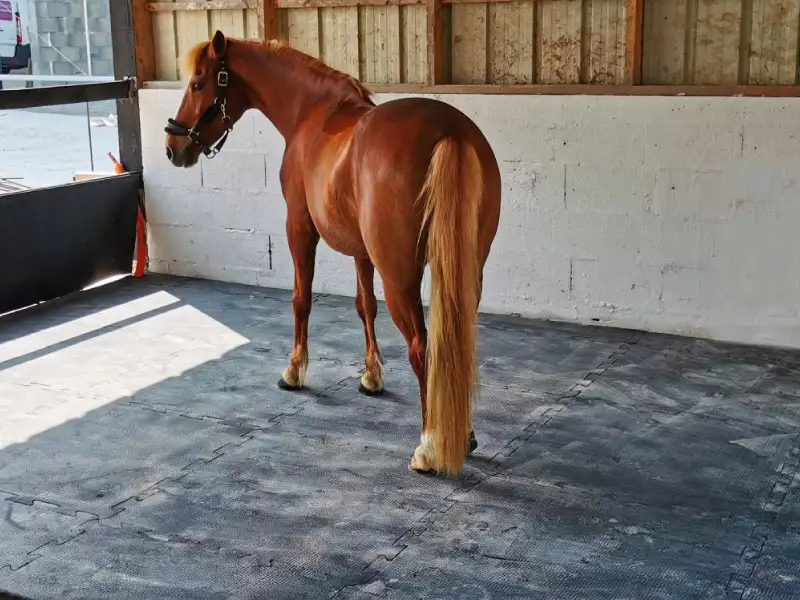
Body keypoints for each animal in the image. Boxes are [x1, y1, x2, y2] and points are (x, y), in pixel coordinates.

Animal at [164, 30, 502, 476]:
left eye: (198, 82)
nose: (172, 147)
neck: (312, 111)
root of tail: (449, 133)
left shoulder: (299, 227)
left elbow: (301, 299)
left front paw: (293, 370)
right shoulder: (361, 249)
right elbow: (364, 306)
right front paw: (371, 376)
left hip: (400, 277)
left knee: (423, 348)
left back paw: (429, 447)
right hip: (466, 273)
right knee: (454, 346)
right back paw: (463, 434)